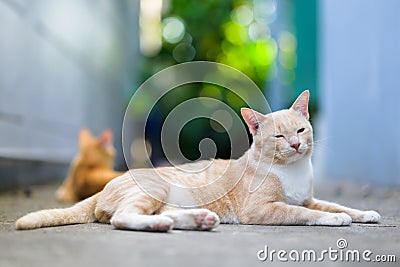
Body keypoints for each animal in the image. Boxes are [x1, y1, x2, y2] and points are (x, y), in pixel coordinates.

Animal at [15, 91, 380, 232]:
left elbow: (335, 205)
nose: (295, 144)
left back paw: (197, 220)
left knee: (164, 215)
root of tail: (104, 187)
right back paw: (161, 225)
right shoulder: (263, 210)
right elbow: (306, 214)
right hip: (154, 191)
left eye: (301, 130)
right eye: (279, 137)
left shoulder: (310, 197)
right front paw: (335, 221)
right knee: (123, 218)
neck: (293, 171)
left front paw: (363, 213)